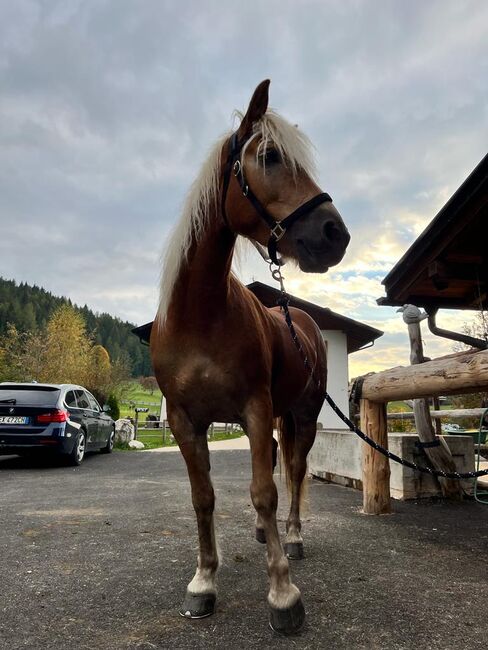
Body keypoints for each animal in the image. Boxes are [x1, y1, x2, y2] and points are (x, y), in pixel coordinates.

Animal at [151, 78, 348, 632]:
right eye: (270, 156)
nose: (335, 235)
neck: (200, 315)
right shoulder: (186, 421)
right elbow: (203, 498)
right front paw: (204, 581)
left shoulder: (255, 410)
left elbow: (265, 491)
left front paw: (283, 593)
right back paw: (268, 534)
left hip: (301, 414)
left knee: (296, 470)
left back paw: (293, 536)